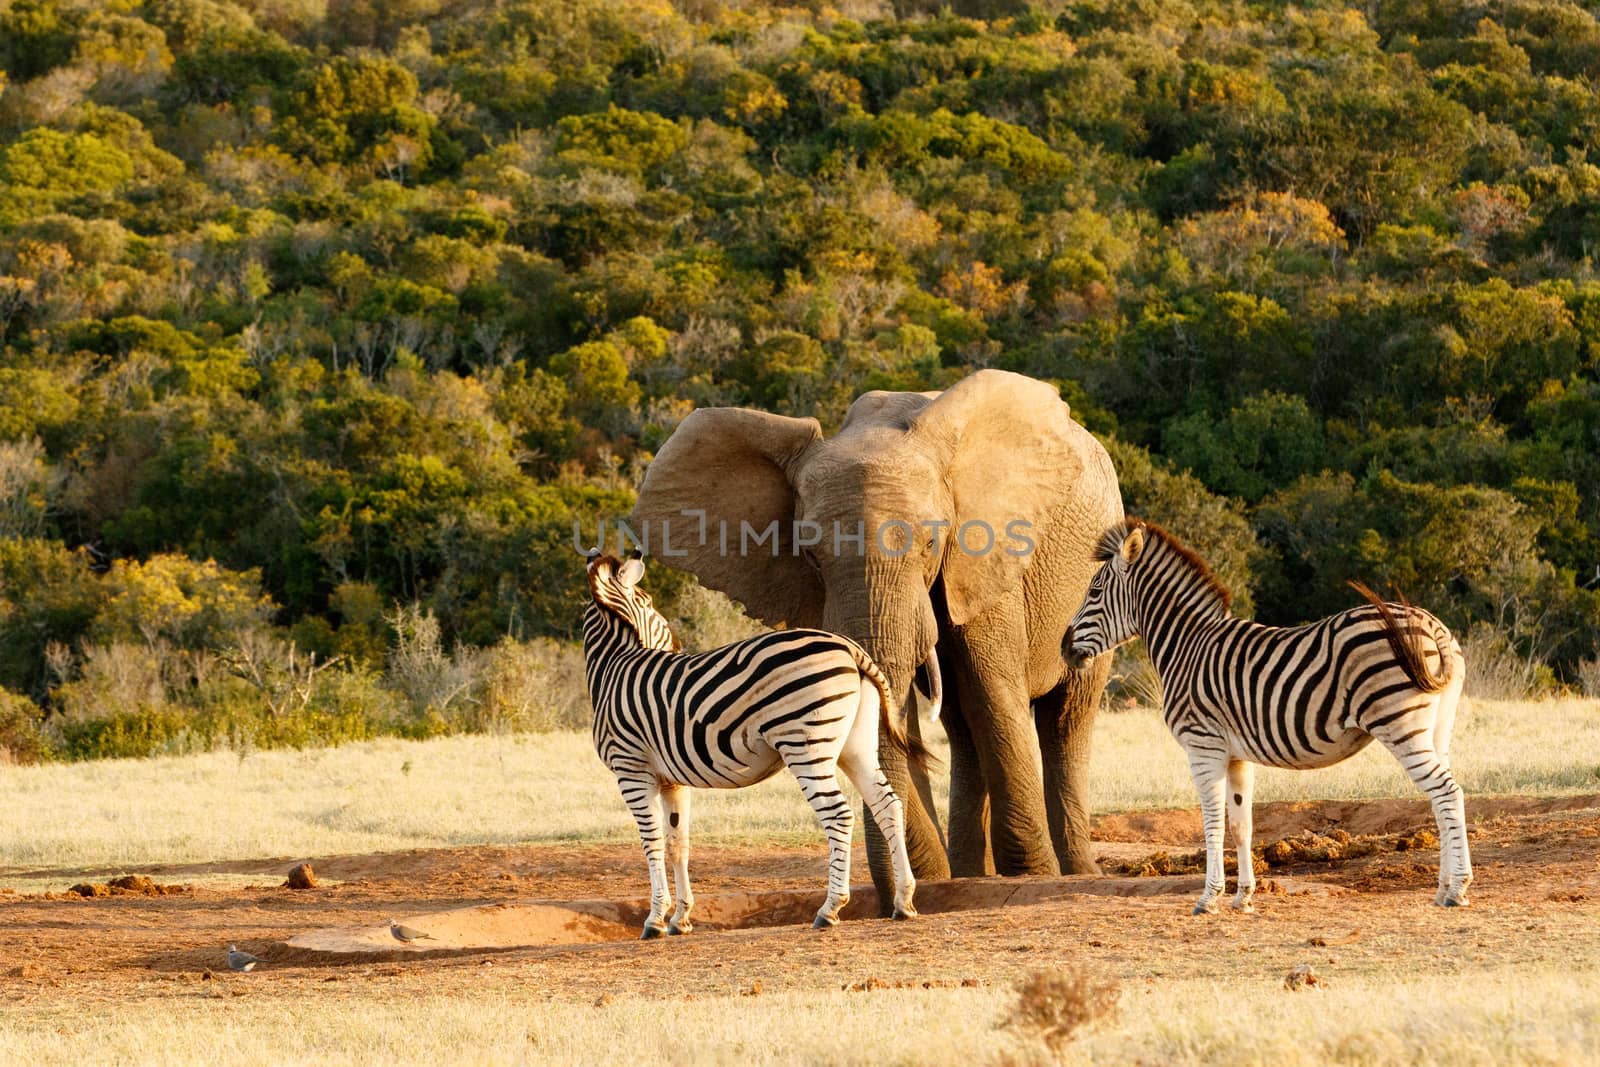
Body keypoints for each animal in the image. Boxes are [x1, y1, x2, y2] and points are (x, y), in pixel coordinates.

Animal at [582, 550, 921, 934]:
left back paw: (830, 909)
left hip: (805, 744)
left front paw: (655, 919)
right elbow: (677, 844)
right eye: (650, 602)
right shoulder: (672, 781)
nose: (677, 647)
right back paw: (904, 901)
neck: (613, 667)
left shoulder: (631, 770)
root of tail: (848, 647)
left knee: (838, 814)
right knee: (887, 805)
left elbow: (651, 842)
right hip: (855, 746)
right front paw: (680, 918)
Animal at [630, 369, 1120, 902]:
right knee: (962, 725)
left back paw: (1075, 871)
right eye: (809, 552)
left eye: (931, 541)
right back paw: (968, 871)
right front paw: (933, 878)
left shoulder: (985, 557)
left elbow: (991, 694)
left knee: (1064, 718)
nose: (904, 894)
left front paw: (1031, 875)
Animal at [1068, 521, 1465, 915]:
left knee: (1447, 792)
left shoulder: (1203, 746)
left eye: (1094, 590)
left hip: (1399, 723)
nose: (1063, 648)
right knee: (1441, 798)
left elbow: (1212, 824)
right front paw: (1243, 897)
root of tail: (1434, 625)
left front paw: (1208, 898)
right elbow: (1241, 826)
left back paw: (1457, 889)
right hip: (1436, 729)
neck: (1187, 647)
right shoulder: (1236, 756)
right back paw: (1443, 888)